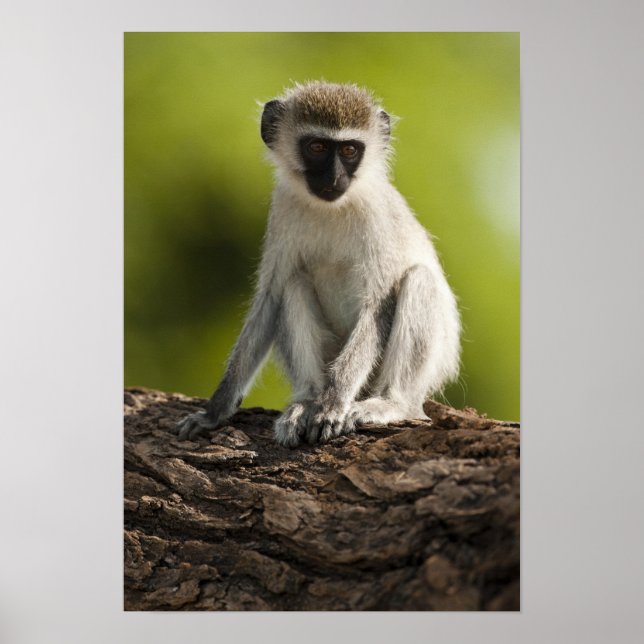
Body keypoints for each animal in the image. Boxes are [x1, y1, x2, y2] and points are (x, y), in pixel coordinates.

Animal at [176, 81, 461, 447]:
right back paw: (308, 400)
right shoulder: (282, 209)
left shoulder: (376, 217)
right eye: (317, 147)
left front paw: (333, 404)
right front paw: (215, 410)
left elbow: (377, 307)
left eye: (350, 150)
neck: (333, 208)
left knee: (420, 281)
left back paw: (390, 403)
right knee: (293, 284)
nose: (334, 178)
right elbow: (270, 298)